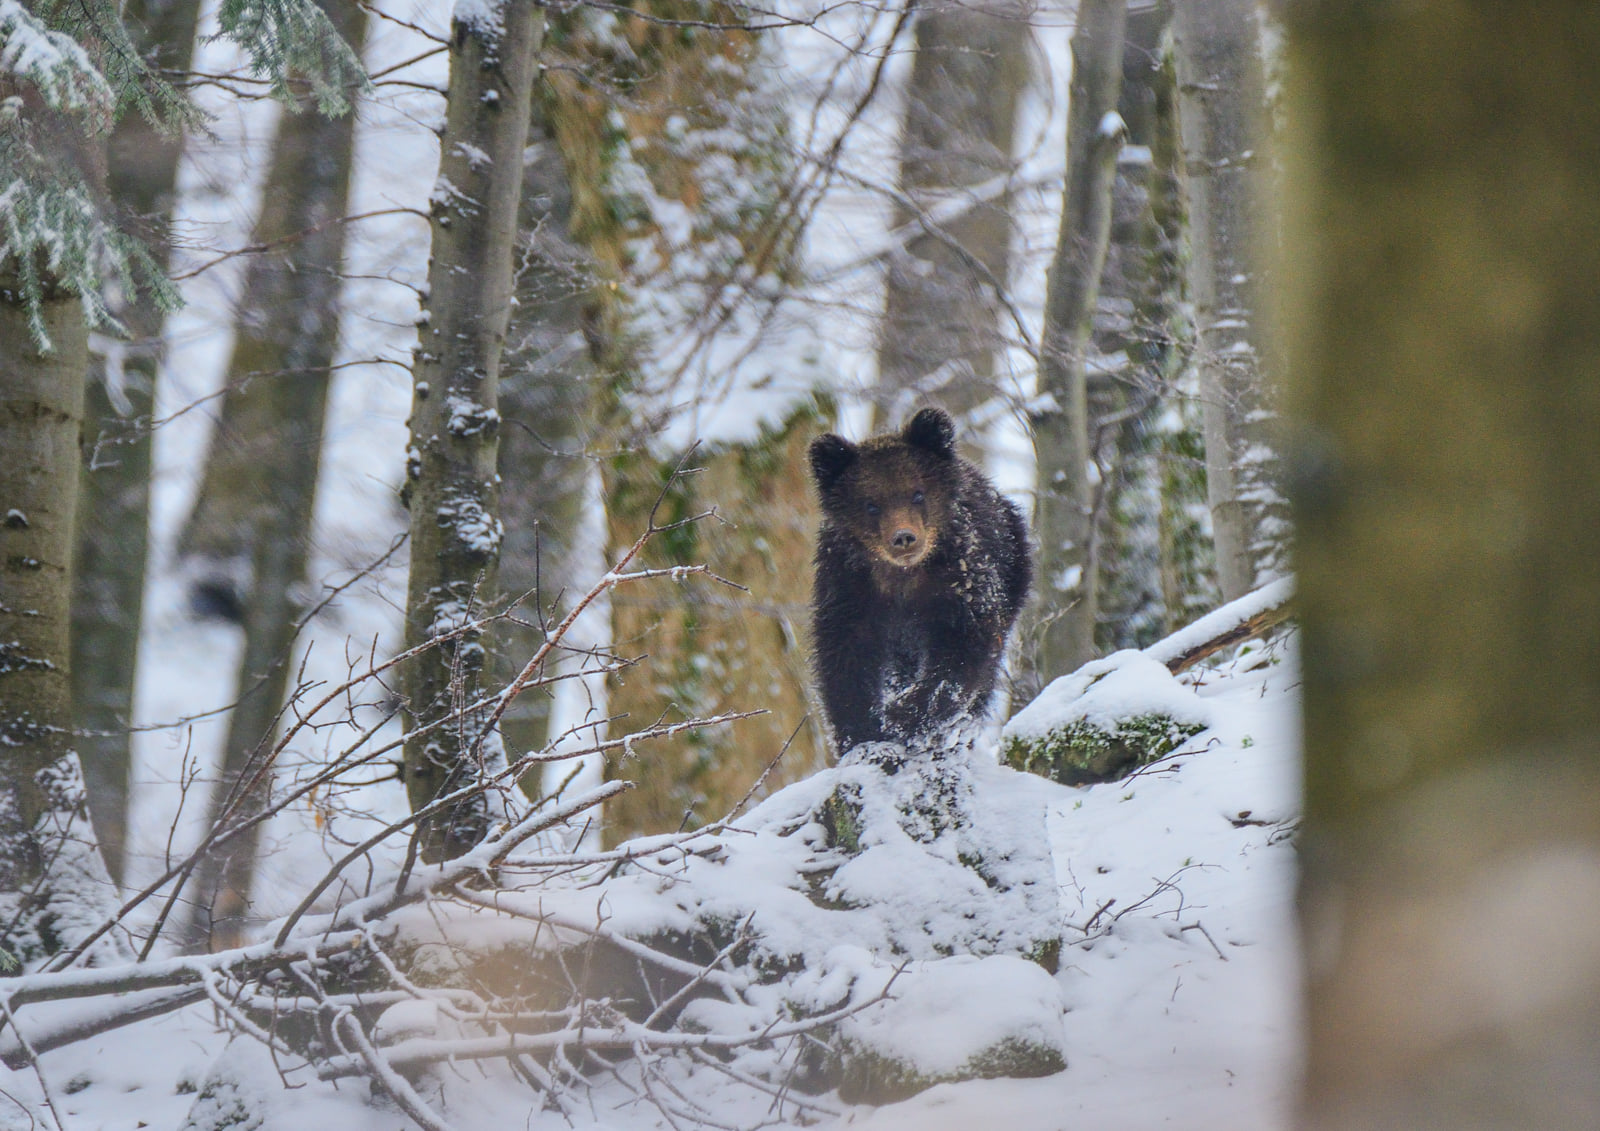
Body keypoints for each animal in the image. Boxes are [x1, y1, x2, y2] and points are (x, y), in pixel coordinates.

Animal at [806, 404, 1030, 751]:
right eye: (871, 504)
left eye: (917, 493)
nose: (903, 538)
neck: (904, 577)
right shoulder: (849, 586)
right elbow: (845, 656)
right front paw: (860, 730)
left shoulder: (961, 581)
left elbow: (962, 651)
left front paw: (904, 716)